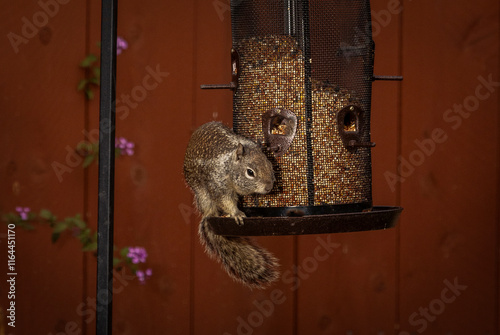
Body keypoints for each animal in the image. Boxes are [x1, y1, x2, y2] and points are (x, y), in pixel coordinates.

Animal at [184, 122, 280, 290]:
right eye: (250, 172)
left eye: (270, 164)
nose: (269, 187)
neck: (229, 166)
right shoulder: (219, 185)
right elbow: (226, 200)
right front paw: (236, 213)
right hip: (202, 194)